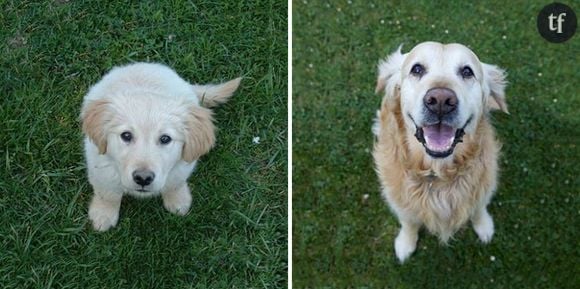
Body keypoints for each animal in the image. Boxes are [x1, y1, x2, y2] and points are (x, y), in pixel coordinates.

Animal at [80, 63, 239, 232]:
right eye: (126, 135)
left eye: (165, 139)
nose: (143, 178)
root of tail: (145, 64)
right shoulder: (101, 170)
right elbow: (108, 194)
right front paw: (103, 214)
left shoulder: (182, 167)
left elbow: (175, 184)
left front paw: (178, 201)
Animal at [374, 42, 510, 260]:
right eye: (417, 69)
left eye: (467, 72)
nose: (440, 100)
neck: (437, 173)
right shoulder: (400, 202)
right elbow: (408, 222)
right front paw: (405, 243)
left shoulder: (484, 188)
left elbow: (479, 209)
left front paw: (484, 227)